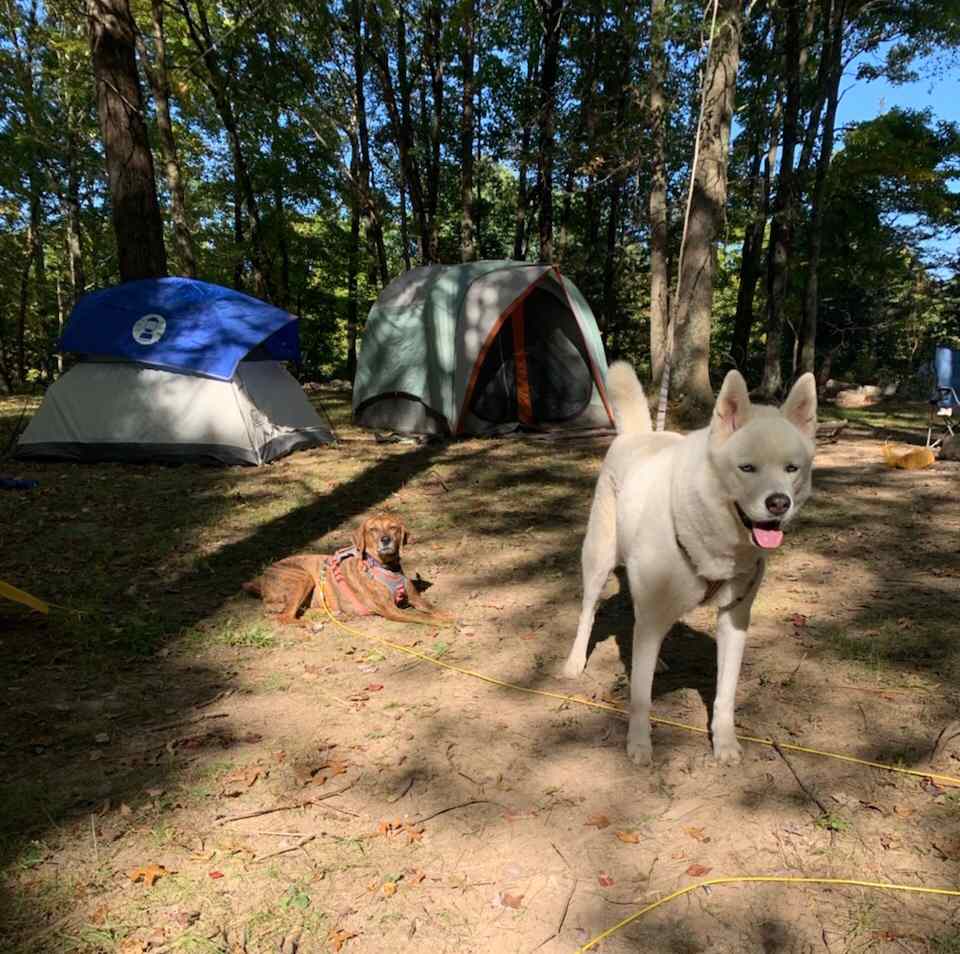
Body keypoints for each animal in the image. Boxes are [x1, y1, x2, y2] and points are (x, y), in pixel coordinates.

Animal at [240, 512, 450, 624]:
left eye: (393, 528)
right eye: (373, 530)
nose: (385, 540)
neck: (386, 566)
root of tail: (262, 579)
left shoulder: (415, 598)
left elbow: (431, 607)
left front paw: (447, 614)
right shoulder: (390, 609)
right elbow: (421, 616)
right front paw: (443, 622)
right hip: (302, 577)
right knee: (284, 617)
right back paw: (309, 624)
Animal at [564, 360, 816, 764]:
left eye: (791, 469)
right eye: (747, 468)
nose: (779, 503)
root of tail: (637, 435)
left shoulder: (734, 619)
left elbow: (725, 695)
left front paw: (725, 743)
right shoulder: (652, 608)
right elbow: (640, 696)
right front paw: (639, 744)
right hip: (598, 561)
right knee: (589, 613)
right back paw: (574, 663)